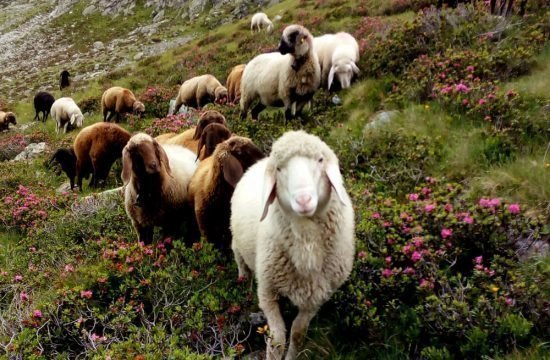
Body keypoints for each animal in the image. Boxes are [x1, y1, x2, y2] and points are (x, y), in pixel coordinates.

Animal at [231, 131, 356, 358]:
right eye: (279, 169)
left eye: (320, 160)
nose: (303, 200)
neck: (307, 247)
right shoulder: (267, 291)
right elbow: (277, 339)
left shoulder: (316, 297)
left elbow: (298, 333)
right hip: (236, 238)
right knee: (238, 255)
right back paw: (243, 277)